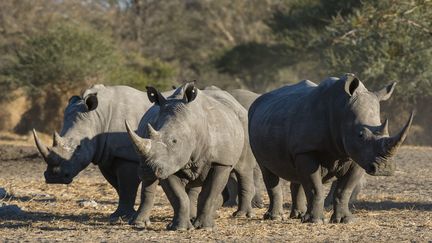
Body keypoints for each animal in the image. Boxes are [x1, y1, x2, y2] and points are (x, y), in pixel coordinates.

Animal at [125, 82, 255, 230]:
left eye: (174, 141)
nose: (149, 168)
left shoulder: (221, 162)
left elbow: (209, 194)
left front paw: (205, 227)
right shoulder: (169, 164)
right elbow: (178, 196)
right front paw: (180, 228)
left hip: (244, 125)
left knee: (243, 170)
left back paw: (242, 215)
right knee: (152, 182)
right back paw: (139, 222)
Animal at [248, 73, 414, 223]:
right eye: (360, 135)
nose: (384, 169)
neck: (342, 110)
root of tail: (259, 99)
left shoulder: (359, 156)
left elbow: (344, 190)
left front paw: (345, 220)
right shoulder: (307, 149)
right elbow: (315, 188)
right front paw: (315, 221)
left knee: (297, 173)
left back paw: (298, 215)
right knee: (267, 170)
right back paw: (275, 217)